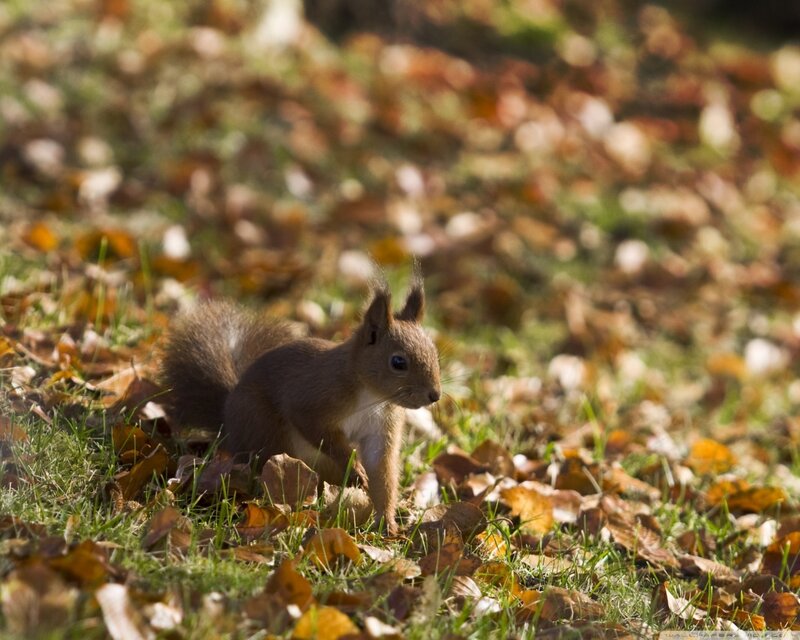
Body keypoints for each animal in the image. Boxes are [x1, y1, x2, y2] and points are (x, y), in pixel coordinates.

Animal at [160, 276, 441, 534]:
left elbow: (381, 468)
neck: (372, 396)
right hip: (265, 430)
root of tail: (228, 420)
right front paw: (355, 468)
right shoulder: (313, 398)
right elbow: (315, 429)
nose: (435, 395)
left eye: (434, 352)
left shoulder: (382, 425)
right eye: (398, 362)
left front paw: (387, 523)